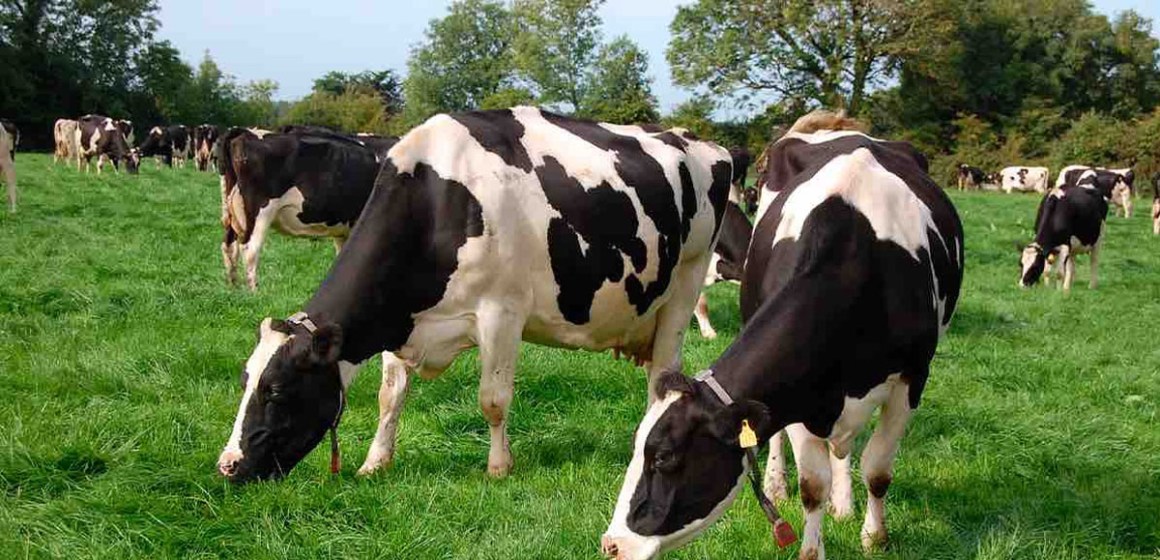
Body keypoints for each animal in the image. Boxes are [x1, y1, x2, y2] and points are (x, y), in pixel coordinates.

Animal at [217, 127, 381, 290]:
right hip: (261, 212)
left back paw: (233, 286)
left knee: (229, 245)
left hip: (234, 215)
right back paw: (254, 291)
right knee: (249, 249)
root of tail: (245, 132)